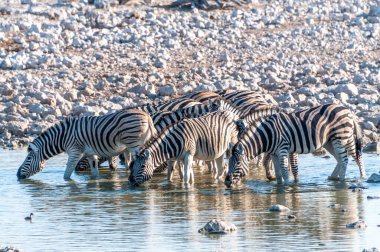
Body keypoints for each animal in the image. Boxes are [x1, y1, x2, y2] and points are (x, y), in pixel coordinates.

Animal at [17, 109, 156, 180]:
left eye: (28, 158)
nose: (17, 175)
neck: (62, 138)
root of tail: (147, 116)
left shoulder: (75, 152)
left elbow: (67, 174)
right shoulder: (90, 155)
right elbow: (94, 172)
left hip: (134, 144)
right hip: (131, 146)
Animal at [226, 103, 366, 187]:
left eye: (238, 163)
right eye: (228, 162)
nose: (227, 182)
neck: (269, 134)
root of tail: (347, 109)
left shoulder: (283, 150)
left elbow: (287, 171)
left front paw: (287, 187)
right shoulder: (275, 153)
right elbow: (279, 173)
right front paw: (280, 186)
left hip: (342, 138)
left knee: (351, 158)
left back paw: (352, 180)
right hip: (329, 142)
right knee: (341, 160)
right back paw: (333, 178)